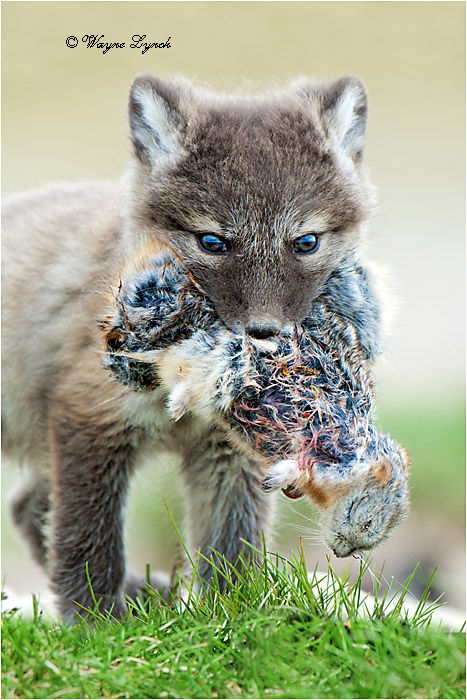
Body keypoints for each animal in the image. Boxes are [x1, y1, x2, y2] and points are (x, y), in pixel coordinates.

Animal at [2, 74, 377, 620]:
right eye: (212, 242)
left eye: (305, 242)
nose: (263, 333)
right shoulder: (88, 415)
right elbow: (88, 543)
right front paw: (95, 623)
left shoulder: (229, 449)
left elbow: (231, 545)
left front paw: (233, 618)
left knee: (26, 506)